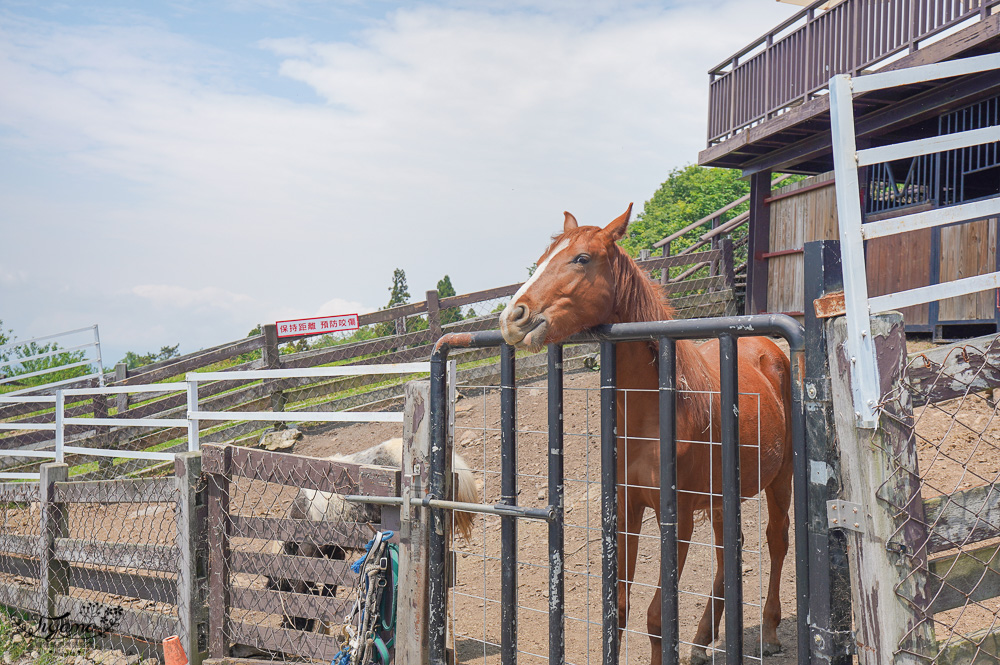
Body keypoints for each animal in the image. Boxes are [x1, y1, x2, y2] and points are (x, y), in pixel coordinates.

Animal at [496, 205, 792, 660]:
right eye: (545, 255)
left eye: (582, 258)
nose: (513, 317)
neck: (653, 417)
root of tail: (769, 349)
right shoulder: (627, 508)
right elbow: (617, 608)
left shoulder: (680, 517)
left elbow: (657, 617)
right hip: (723, 498)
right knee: (730, 553)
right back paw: (703, 641)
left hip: (781, 478)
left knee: (777, 541)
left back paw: (772, 631)